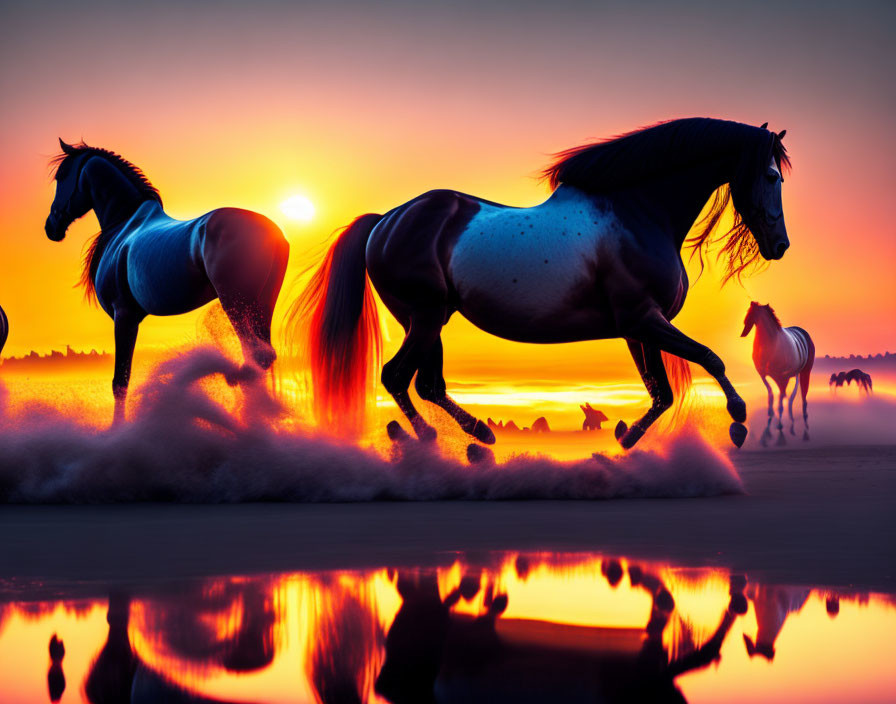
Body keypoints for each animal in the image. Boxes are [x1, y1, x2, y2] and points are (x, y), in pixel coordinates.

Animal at [45, 140, 290, 420]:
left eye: (61, 176)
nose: (51, 226)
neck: (124, 224)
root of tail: (273, 232)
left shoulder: (124, 316)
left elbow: (120, 382)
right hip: (262, 305)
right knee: (262, 358)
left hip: (236, 304)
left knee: (254, 356)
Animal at [292, 117, 792, 452]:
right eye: (771, 175)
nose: (780, 245)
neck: (638, 213)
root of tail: (386, 221)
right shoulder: (643, 319)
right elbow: (711, 358)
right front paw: (739, 421)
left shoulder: (639, 329)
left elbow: (661, 391)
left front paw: (626, 437)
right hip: (426, 315)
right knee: (398, 377)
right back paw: (433, 438)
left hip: (425, 319)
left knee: (428, 383)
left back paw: (479, 435)